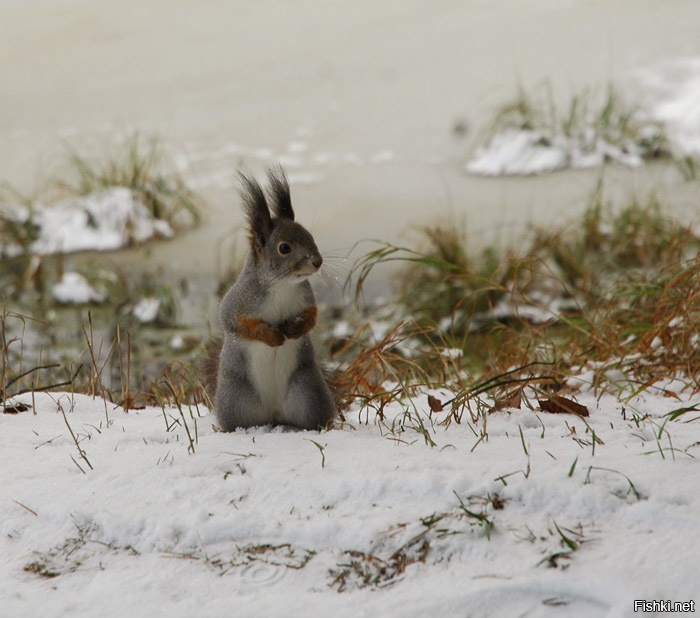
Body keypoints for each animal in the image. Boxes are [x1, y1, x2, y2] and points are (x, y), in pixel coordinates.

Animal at [200, 166, 336, 430]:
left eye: (309, 235)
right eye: (284, 248)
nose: (317, 261)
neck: (282, 285)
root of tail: (274, 416)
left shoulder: (306, 297)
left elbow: (313, 316)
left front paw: (296, 328)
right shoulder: (238, 301)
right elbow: (234, 322)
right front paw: (269, 335)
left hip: (308, 392)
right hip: (235, 399)